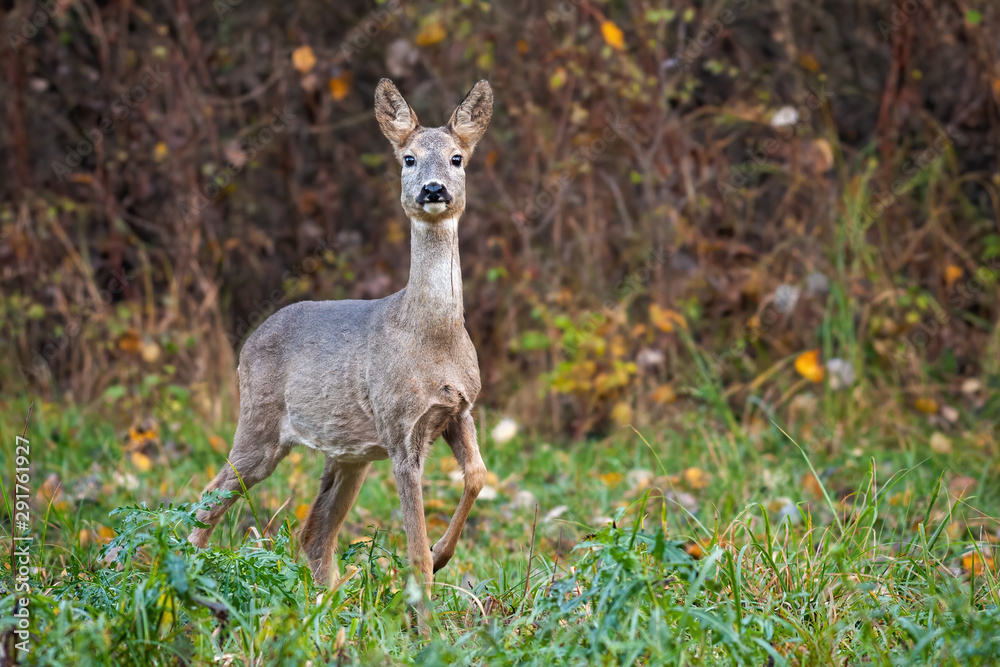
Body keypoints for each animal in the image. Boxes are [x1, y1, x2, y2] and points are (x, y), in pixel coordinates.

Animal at [188, 78, 494, 591]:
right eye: (408, 158)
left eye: (457, 158)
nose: (433, 189)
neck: (432, 338)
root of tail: (249, 341)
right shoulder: (399, 425)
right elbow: (413, 547)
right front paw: (426, 590)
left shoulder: (460, 408)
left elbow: (477, 475)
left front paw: (443, 554)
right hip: (259, 425)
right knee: (206, 499)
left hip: (349, 453)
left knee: (313, 534)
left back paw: (330, 599)